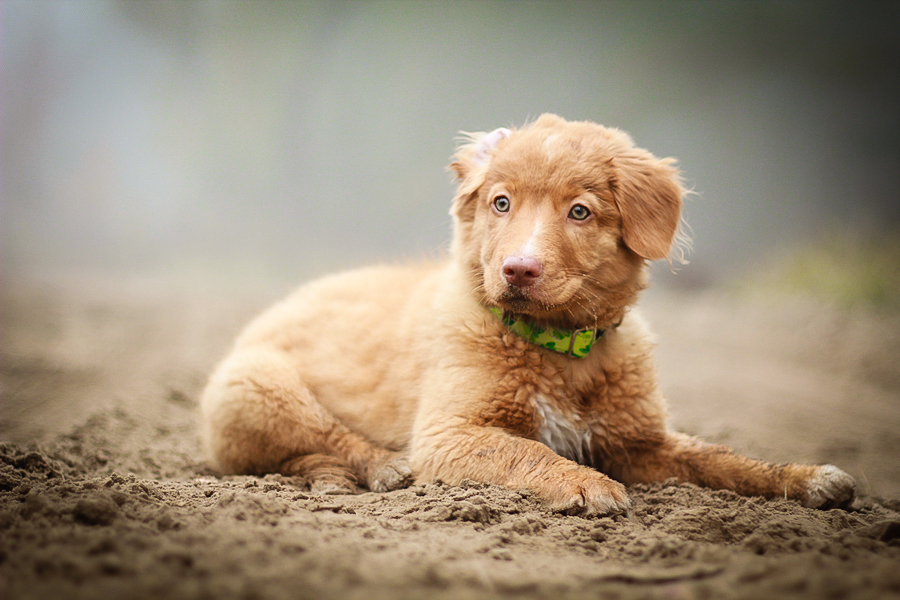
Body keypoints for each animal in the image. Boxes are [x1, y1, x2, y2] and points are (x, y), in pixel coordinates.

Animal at [199, 115, 856, 512]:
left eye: (580, 212)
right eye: (501, 203)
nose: (518, 270)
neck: (560, 348)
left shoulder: (640, 440)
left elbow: (714, 456)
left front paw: (802, 478)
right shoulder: (449, 434)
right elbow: (530, 451)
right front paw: (589, 485)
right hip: (255, 385)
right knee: (313, 444)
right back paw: (383, 470)